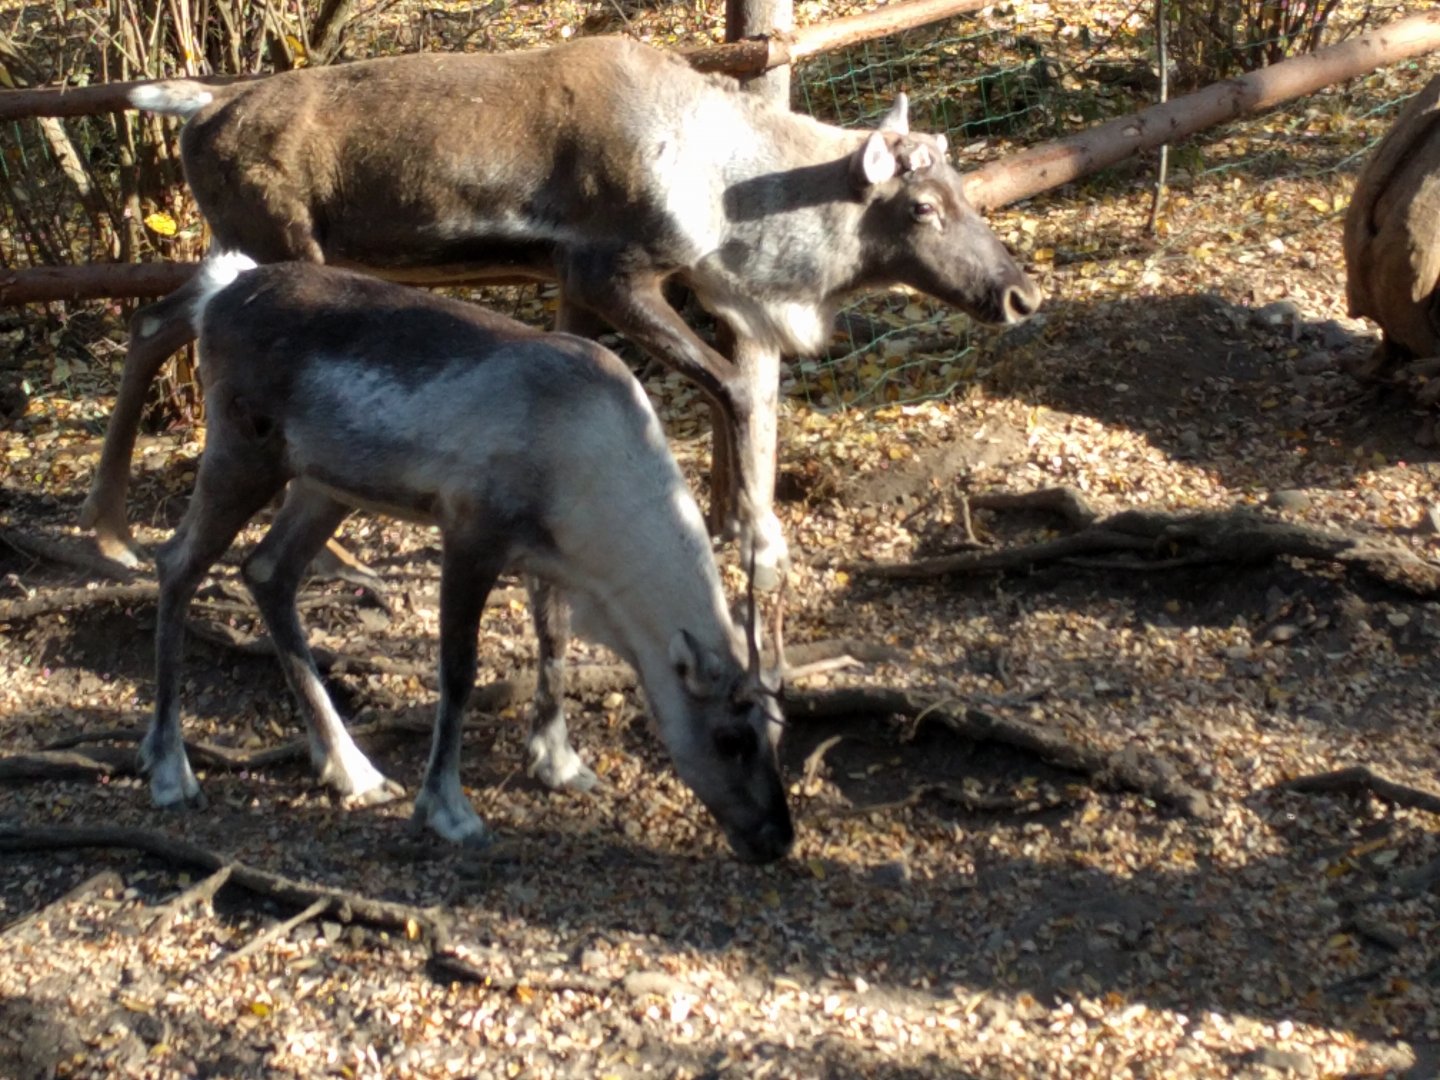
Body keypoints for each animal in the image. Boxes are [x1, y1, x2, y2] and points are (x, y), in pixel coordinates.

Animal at [82, 34, 1042, 590]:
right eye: (923, 208)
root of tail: (198, 108)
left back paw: (112, 531)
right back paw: (333, 559)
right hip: (278, 240)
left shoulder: (571, 283)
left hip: (232, 240)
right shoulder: (611, 270)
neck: (723, 193)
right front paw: (756, 539)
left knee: (153, 322)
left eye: (963, 189)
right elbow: (731, 384)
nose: (1020, 293)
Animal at [140, 253, 794, 864]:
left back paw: (350, 767)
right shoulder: (471, 534)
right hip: (242, 453)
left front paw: (558, 763)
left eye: (777, 730)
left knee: (267, 572)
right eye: (731, 738)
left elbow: (553, 644)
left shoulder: (545, 557)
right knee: (177, 563)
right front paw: (448, 809)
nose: (778, 839)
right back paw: (171, 770)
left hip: (325, 485)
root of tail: (220, 295)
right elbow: (458, 672)